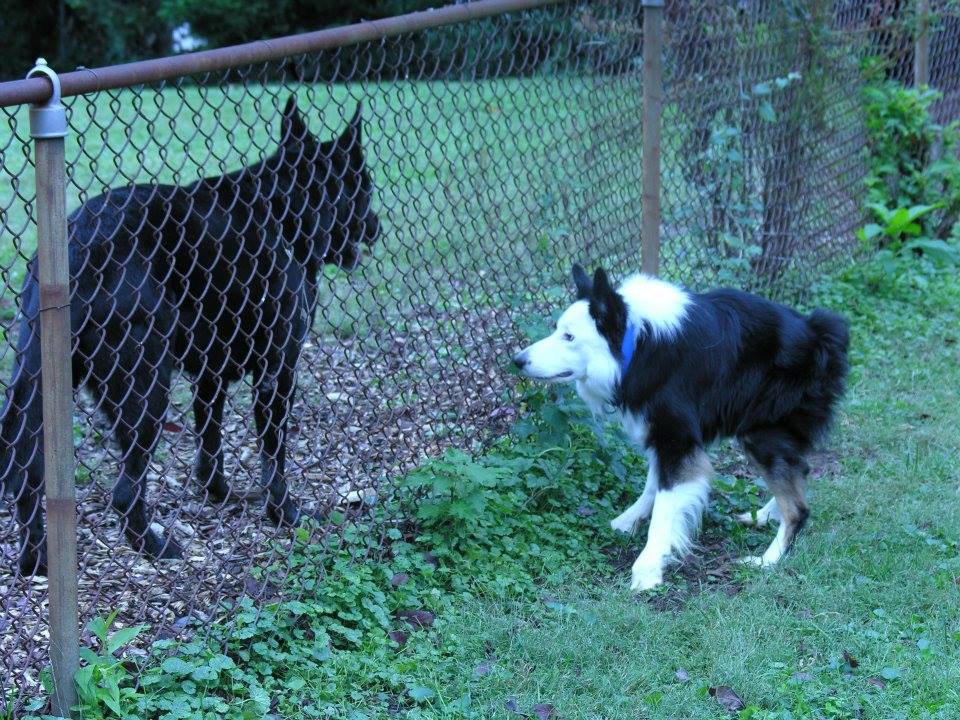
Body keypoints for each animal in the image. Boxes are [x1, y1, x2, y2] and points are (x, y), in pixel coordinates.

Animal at [0, 98, 380, 576]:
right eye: (364, 188)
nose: (377, 224)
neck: (285, 210)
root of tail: (82, 245)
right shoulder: (278, 371)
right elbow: (274, 453)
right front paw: (285, 513)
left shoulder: (210, 374)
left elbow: (210, 439)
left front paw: (217, 492)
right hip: (146, 389)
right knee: (124, 492)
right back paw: (154, 546)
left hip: (39, 381)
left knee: (25, 471)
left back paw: (36, 559)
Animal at [512, 266, 852, 592]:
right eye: (557, 330)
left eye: (569, 337)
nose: (517, 360)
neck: (638, 343)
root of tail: (819, 330)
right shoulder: (659, 433)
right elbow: (653, 485)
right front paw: (629, 521)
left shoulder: (677, 438)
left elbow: (665, 505)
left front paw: (648, 568)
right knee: (799, 472)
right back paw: (766, 515)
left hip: (762, 433)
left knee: (798, 506)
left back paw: (767, 559)